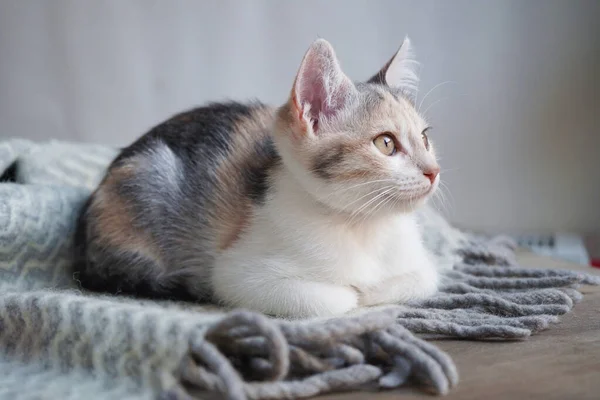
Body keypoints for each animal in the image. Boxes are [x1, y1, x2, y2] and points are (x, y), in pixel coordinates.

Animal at [74, 37, 440, 318]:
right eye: (386, 143)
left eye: (425, 138)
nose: (433, 171)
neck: (364, 226)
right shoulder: (235, 275)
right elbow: (336, 298)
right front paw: (357, 292)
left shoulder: (422, 266)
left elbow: (423, 279)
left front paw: (376, 289)